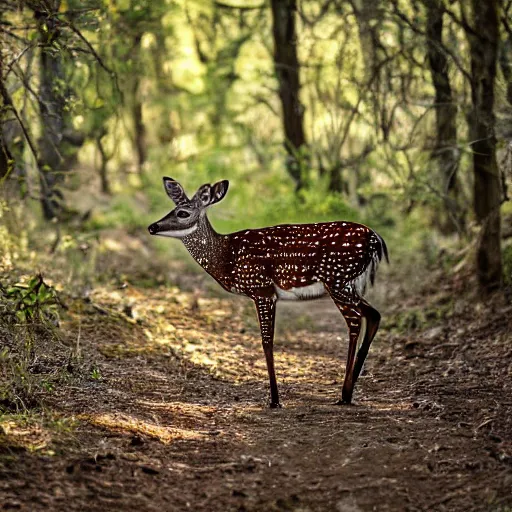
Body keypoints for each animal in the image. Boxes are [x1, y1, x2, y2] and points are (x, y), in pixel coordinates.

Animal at [148, 179, 388, 408]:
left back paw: (344, 395)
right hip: (345, 285)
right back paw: (349, 390)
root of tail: (376, 239)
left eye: (182, 213)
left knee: (355, 321)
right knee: (374, 314)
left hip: (336, 279)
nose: (152, 226)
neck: (226, 258)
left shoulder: (261, 289)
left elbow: (267, 342)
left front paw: (274, 400)